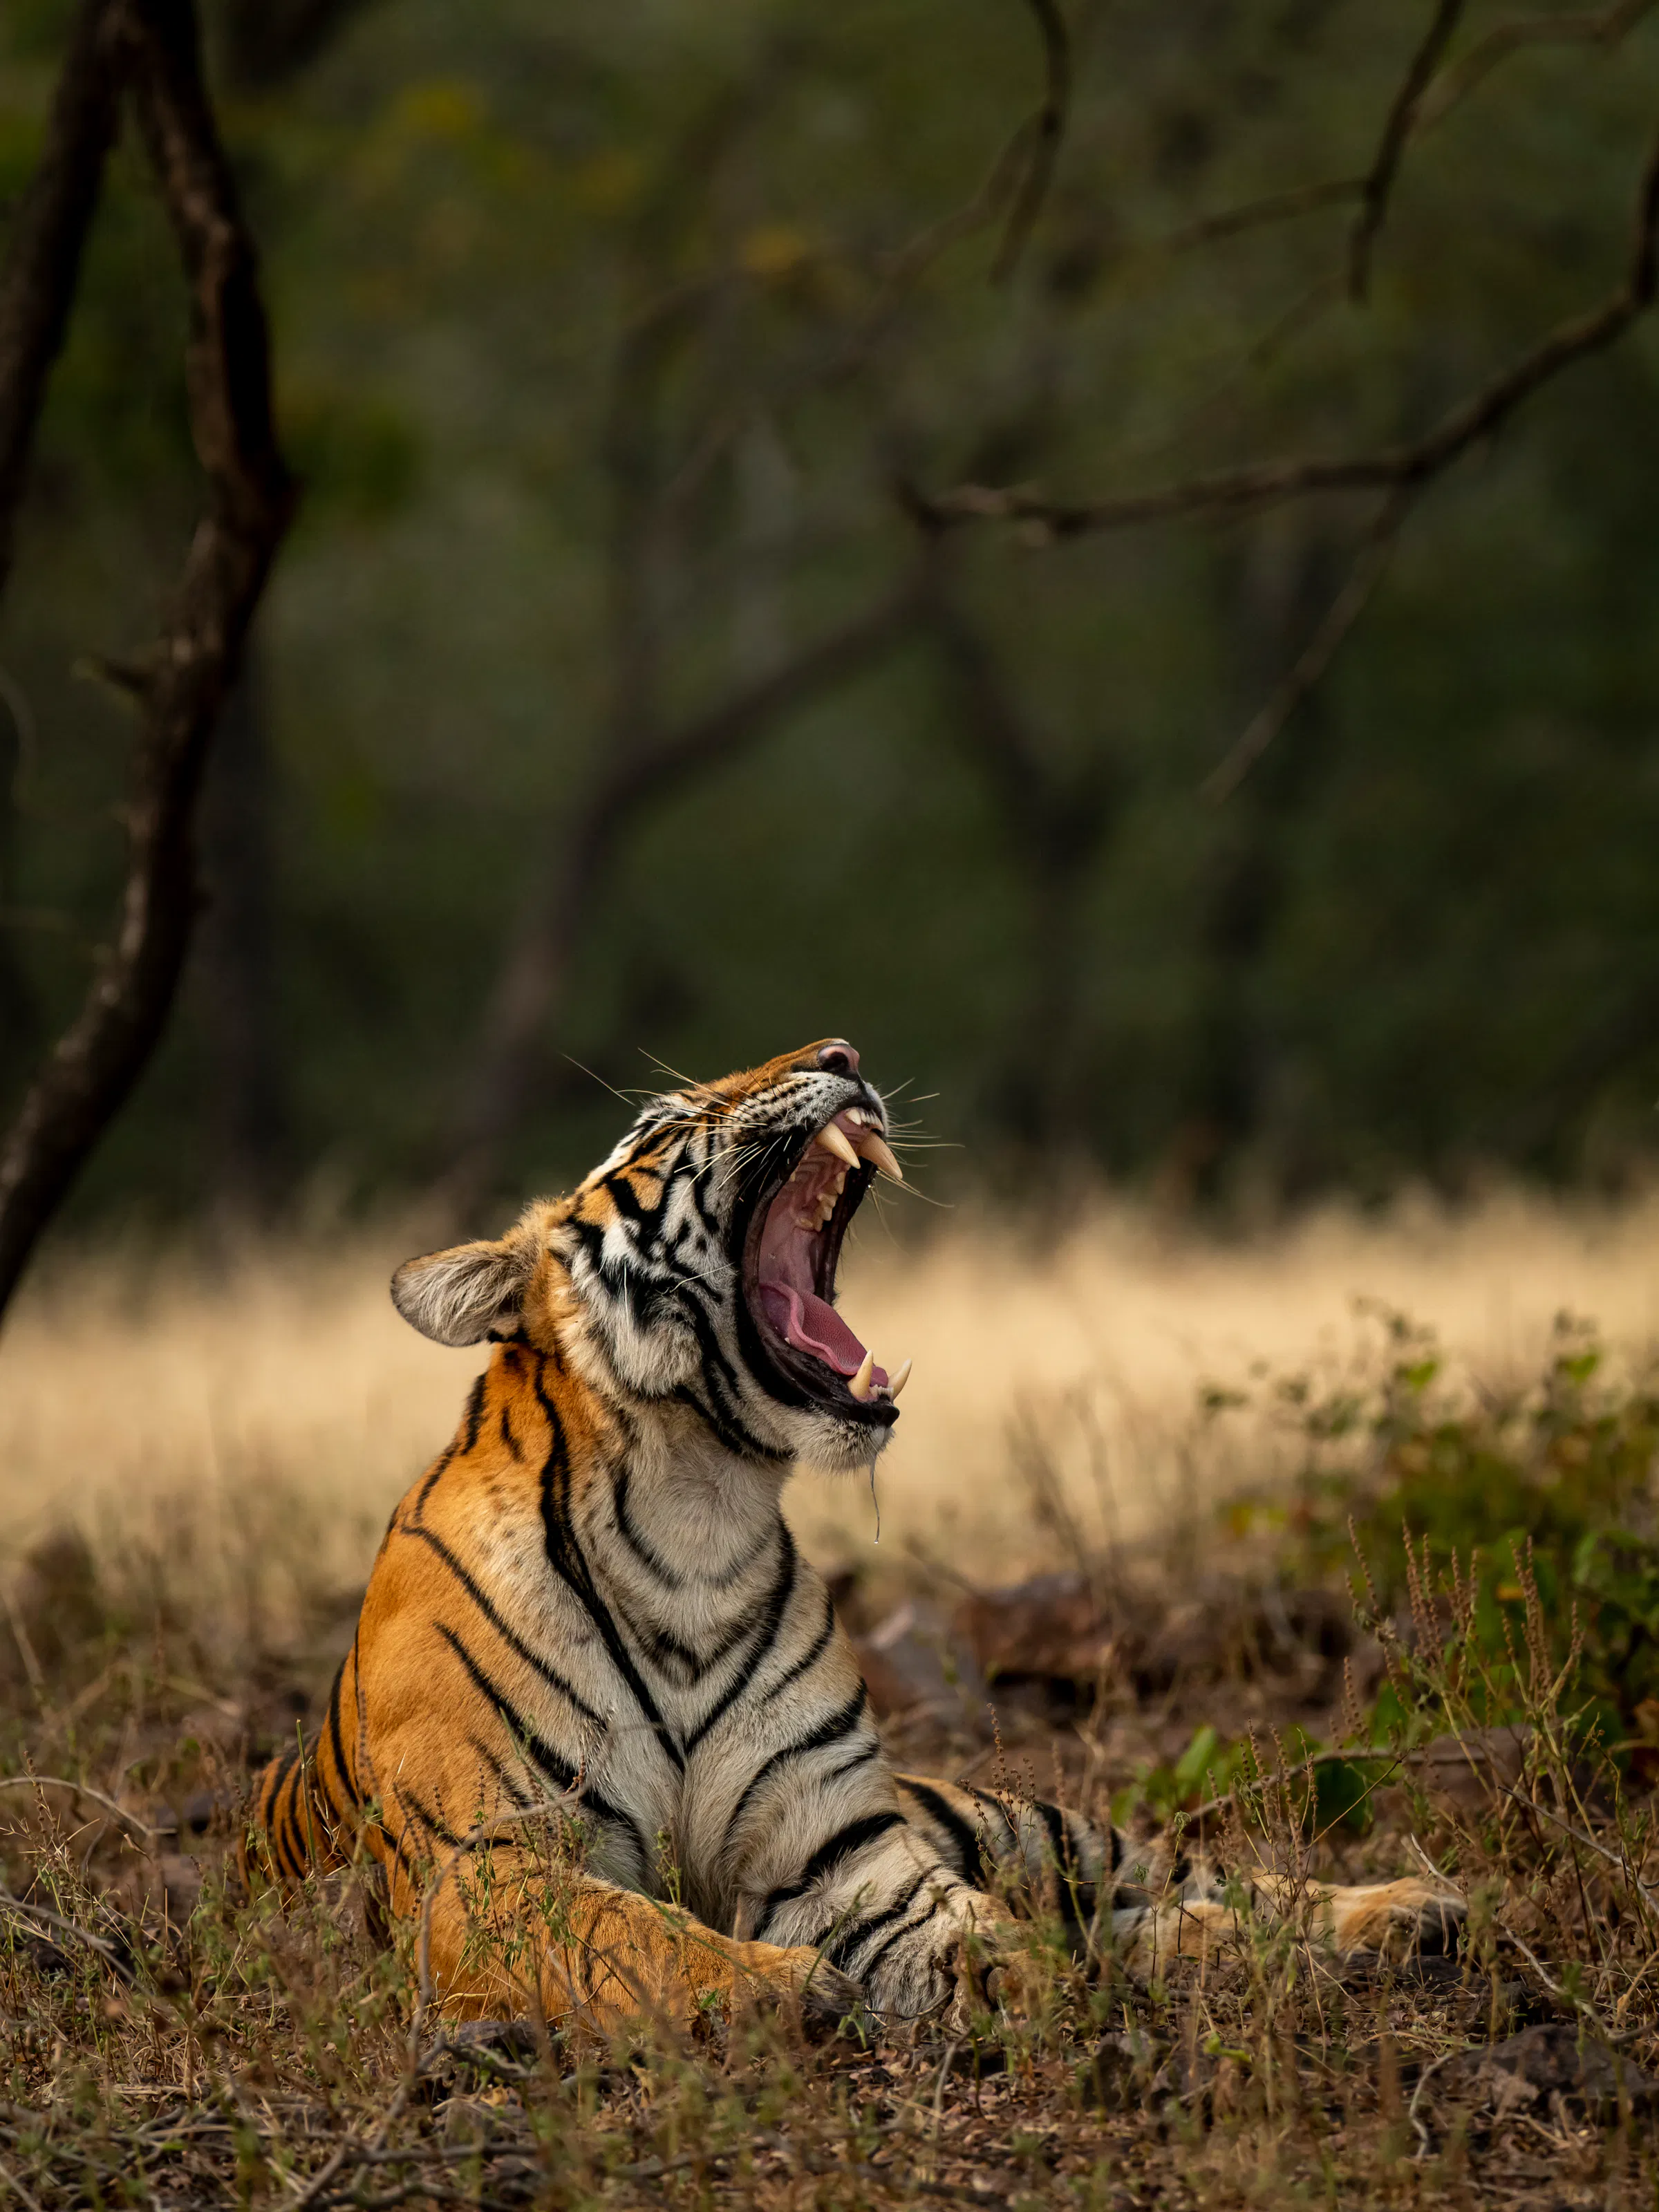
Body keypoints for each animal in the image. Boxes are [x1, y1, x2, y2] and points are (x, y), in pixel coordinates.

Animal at [249, 1038, 1463, 2037]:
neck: (695, 1519)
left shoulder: (839, 1853)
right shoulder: (488, 1865)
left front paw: (1020, 1983)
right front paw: (783, 1993)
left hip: (1030, 1822)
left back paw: (1409, 1913)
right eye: (668, 1119)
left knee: (1197, 1878)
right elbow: (632, 1936)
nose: (843, 1051)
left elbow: (968, 1927)